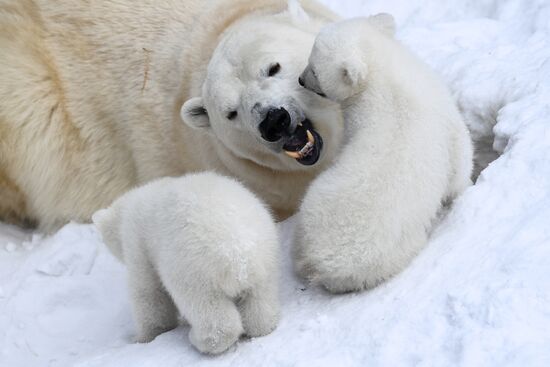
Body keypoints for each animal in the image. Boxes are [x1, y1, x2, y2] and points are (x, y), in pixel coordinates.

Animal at [92, 174, 280, 356]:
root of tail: (238, 254)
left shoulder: (138, 244)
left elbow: (149, 292)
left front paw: (144, 337)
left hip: (194, 269)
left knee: (208, 309)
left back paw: (201, 341)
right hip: (266, 259)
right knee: (260, 299)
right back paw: (262, 326)